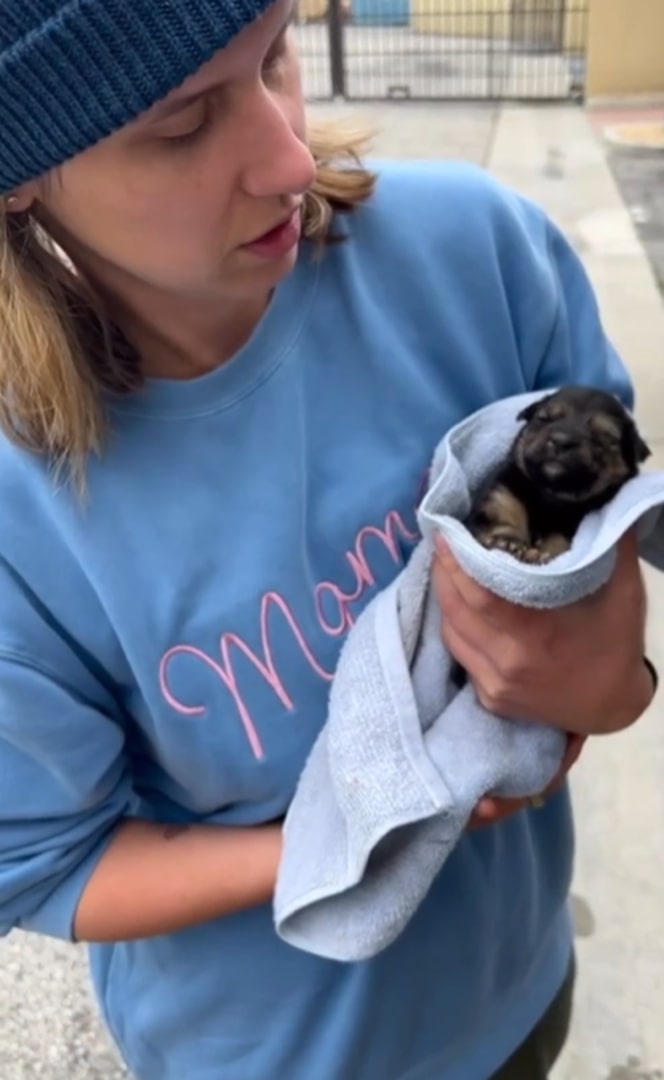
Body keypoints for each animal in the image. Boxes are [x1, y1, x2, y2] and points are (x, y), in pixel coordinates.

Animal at [462, 384, 647, 565]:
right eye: (544, 419)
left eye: (604, 437)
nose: (562, 441)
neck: (548, 495)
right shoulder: (501, 496)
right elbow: (500, 523)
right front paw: (508, 543)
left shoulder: (571, 522)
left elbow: (558, 542)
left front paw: (544, 555)